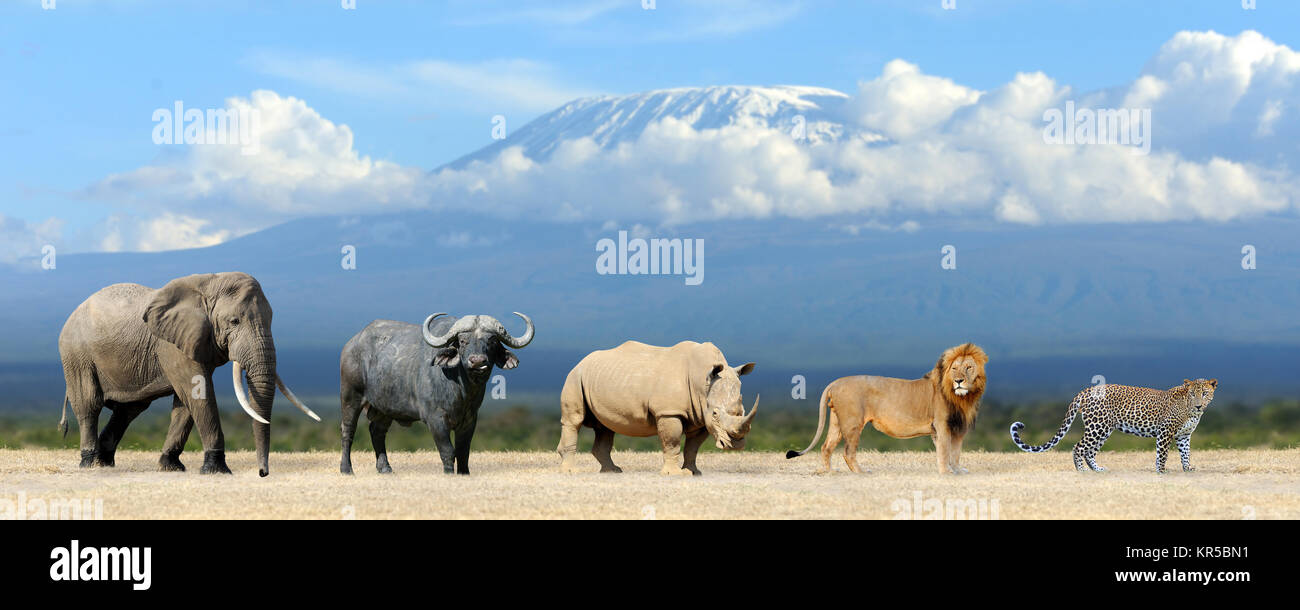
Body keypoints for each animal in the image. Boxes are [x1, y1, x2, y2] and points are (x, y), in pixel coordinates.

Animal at [55, 270, 319, 476]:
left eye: (272, 320)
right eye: (234, 321)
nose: (263, 473)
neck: (209, 283)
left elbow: (186, 401)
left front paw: (170, 467)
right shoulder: (171, 344)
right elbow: (197, 392)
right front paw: (216, 470)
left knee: (129, 409)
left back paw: (104, 462)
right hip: (76, 354)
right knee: (89, 404)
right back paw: (90, 463)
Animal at [785, 340, 987, 473]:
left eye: (969, 367)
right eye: (954, 369)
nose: (959, 381)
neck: (963, 398)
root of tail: (835, 382)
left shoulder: (956, 428)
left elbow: (955, 452)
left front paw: (957, 471)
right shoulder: (942, 425)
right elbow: (945, 451)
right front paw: (946, 473)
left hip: (837, 421)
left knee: (826, 447)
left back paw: (829, 472)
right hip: (853, 423)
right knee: (848, 452)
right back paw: (861, 473)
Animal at [1003, 377, 1216, 473]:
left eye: (1205, 393)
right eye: (1193, 394)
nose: (1199, 404)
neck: (1192, 411)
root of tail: (1086, 390)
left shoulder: (1184, 435)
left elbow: (1186, 453)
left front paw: (1188, 468)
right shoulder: (1166, 431)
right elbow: (1162, 453)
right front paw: (1161, 470)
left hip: (1104, 429)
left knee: (1090, 451)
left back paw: (1097, 469)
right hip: (1098, 426)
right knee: (1079, 447)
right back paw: (1081, 470)